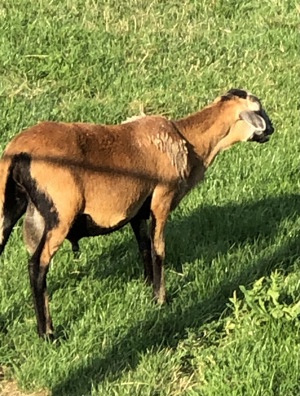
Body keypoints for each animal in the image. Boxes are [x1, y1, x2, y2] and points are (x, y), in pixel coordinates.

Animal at [0, 89, 274, 338]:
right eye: (259, 110)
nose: (271, 129)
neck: (191, 141)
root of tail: (17, 152)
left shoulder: (138, 211)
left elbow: (143, 246)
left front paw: (148, 286)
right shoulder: (162, 199)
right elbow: (159, 248)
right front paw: (161, 299)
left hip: (8, 208)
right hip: (61, 214)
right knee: (37, 266)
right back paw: (47, 333)